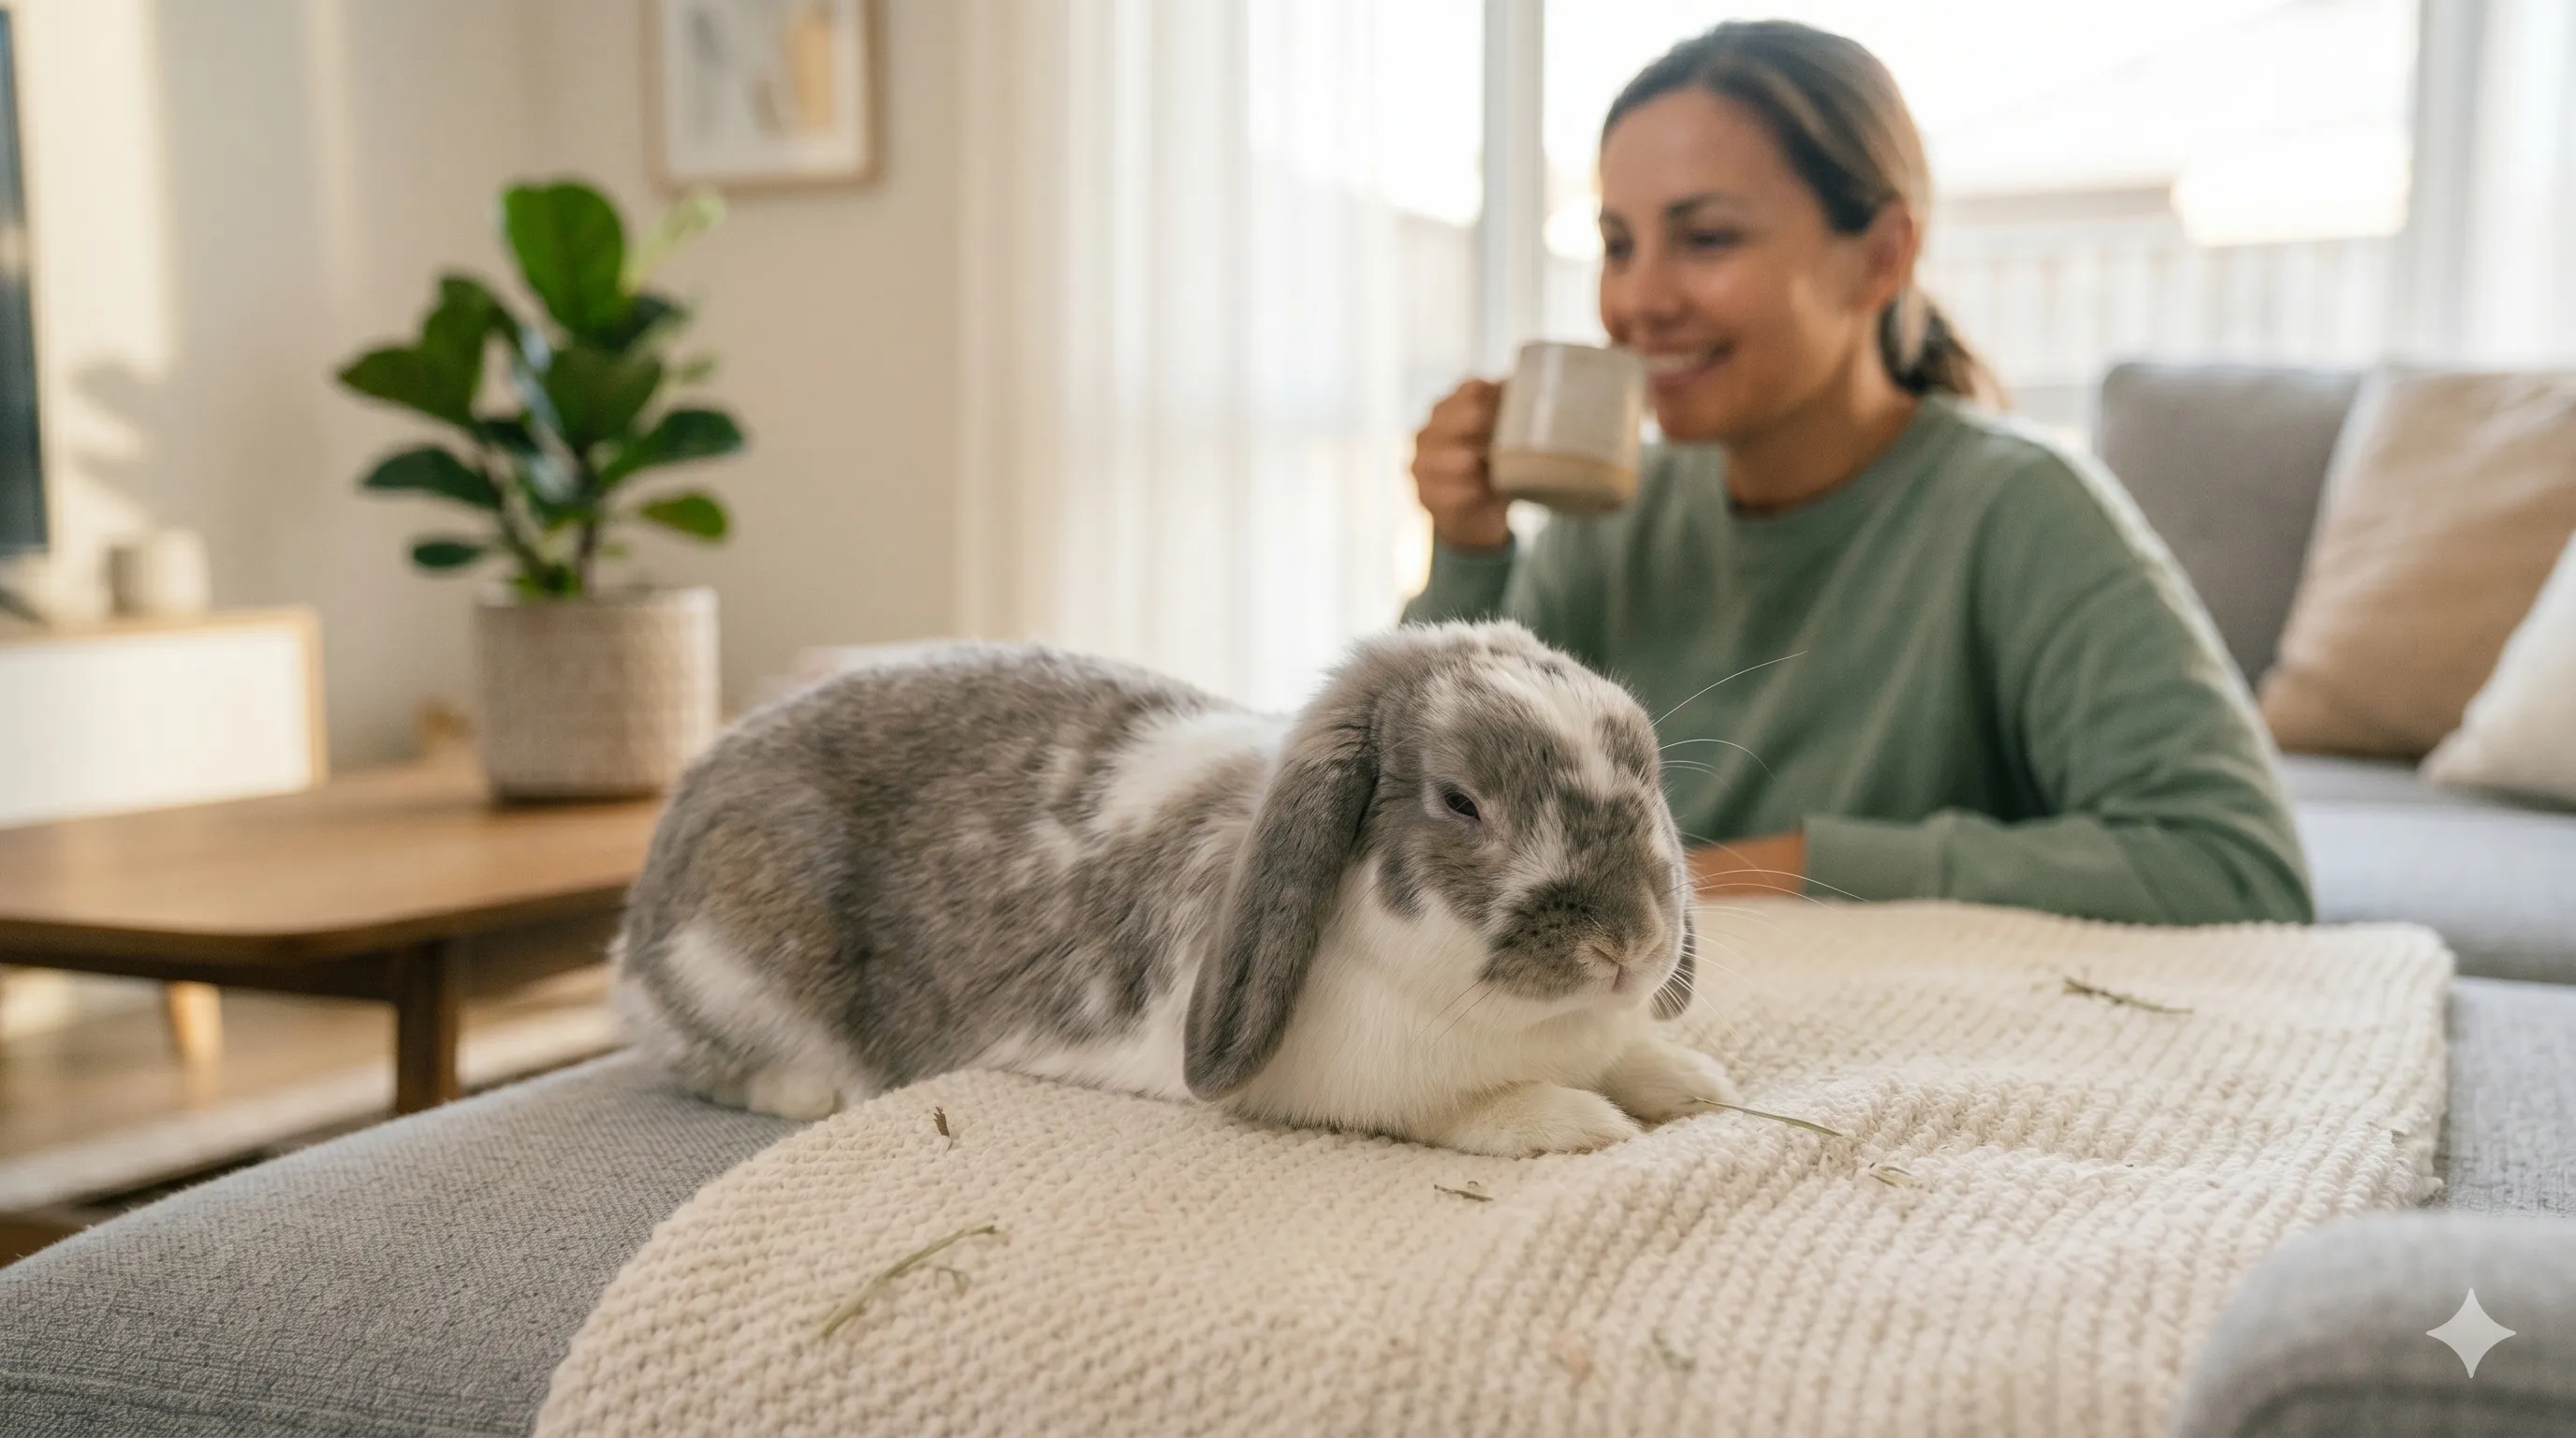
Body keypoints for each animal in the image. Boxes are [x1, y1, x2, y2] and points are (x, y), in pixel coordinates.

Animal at [612, 620, 1739, 1157]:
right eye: (1461, 802)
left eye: (1646, 772)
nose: (1631, 944)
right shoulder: (1356, 1088)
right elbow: (1461, 1109)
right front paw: (1572, 1122)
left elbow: (1637, 1059)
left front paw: (1691, 1082)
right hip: (730, 971)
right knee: (696, 1064)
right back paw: (818, 1090)